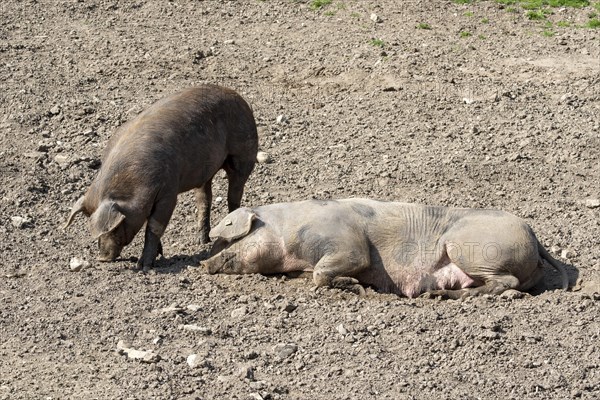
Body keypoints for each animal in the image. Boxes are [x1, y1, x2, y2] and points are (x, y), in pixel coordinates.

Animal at [64, 84, 258, 268]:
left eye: (115, 227)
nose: (102, 258)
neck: (131, 182)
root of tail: (238, 97)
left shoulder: (167, 192)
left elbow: (154, 227)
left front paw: (144, 265)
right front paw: (158, 254)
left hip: (244, 153)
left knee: (234, 193)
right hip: (205, 170)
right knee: (204, 199)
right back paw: (201, 241)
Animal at [203, 198, 568, 298]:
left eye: (236, 237)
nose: (205, 264)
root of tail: (533, 235)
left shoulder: (345, 243)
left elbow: (327, 271)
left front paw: (356, 286)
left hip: (472, 248)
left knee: (508, 283)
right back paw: (439, 294)